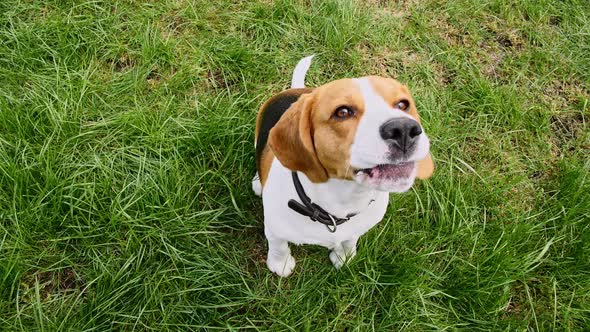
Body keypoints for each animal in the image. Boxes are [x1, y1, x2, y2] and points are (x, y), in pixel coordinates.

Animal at [252, 55, 432, 276]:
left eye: (403, 104)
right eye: (343, 112)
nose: (405, 129)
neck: (342, 202)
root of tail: (296, 91)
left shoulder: (356, 228)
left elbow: (349, 240)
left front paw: (343, 257)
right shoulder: (274, 228)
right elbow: (279, 246)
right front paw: (280, 264)